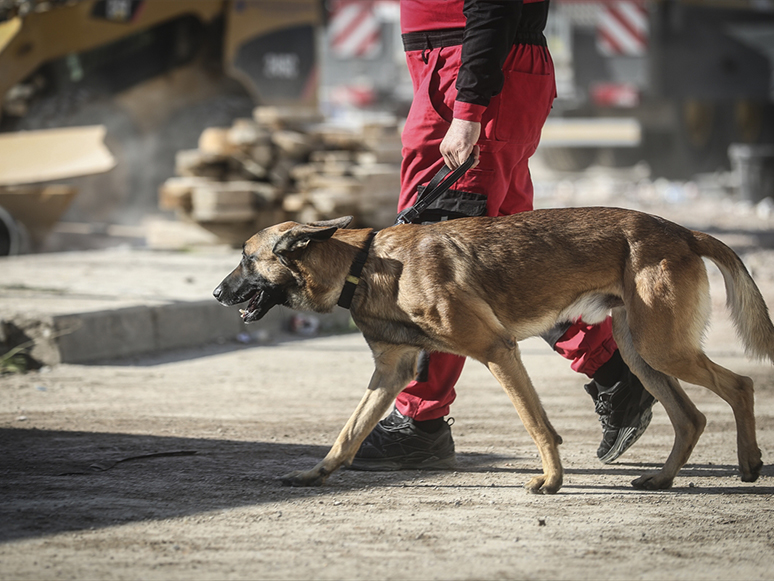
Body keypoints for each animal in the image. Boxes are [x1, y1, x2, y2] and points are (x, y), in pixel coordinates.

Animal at [212, 206, 774, 492]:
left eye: (246, 259)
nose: (216, 293)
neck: (364, 262)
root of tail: (683, 230)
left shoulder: (498, 351)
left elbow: (537, 423)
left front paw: (553, 479)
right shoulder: (390, 374)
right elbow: (348, 432)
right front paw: (317, 472)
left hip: (662, 347)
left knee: (740, 385)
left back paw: (749, 463)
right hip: (643, 352)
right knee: (690, 417)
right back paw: (663, 477)